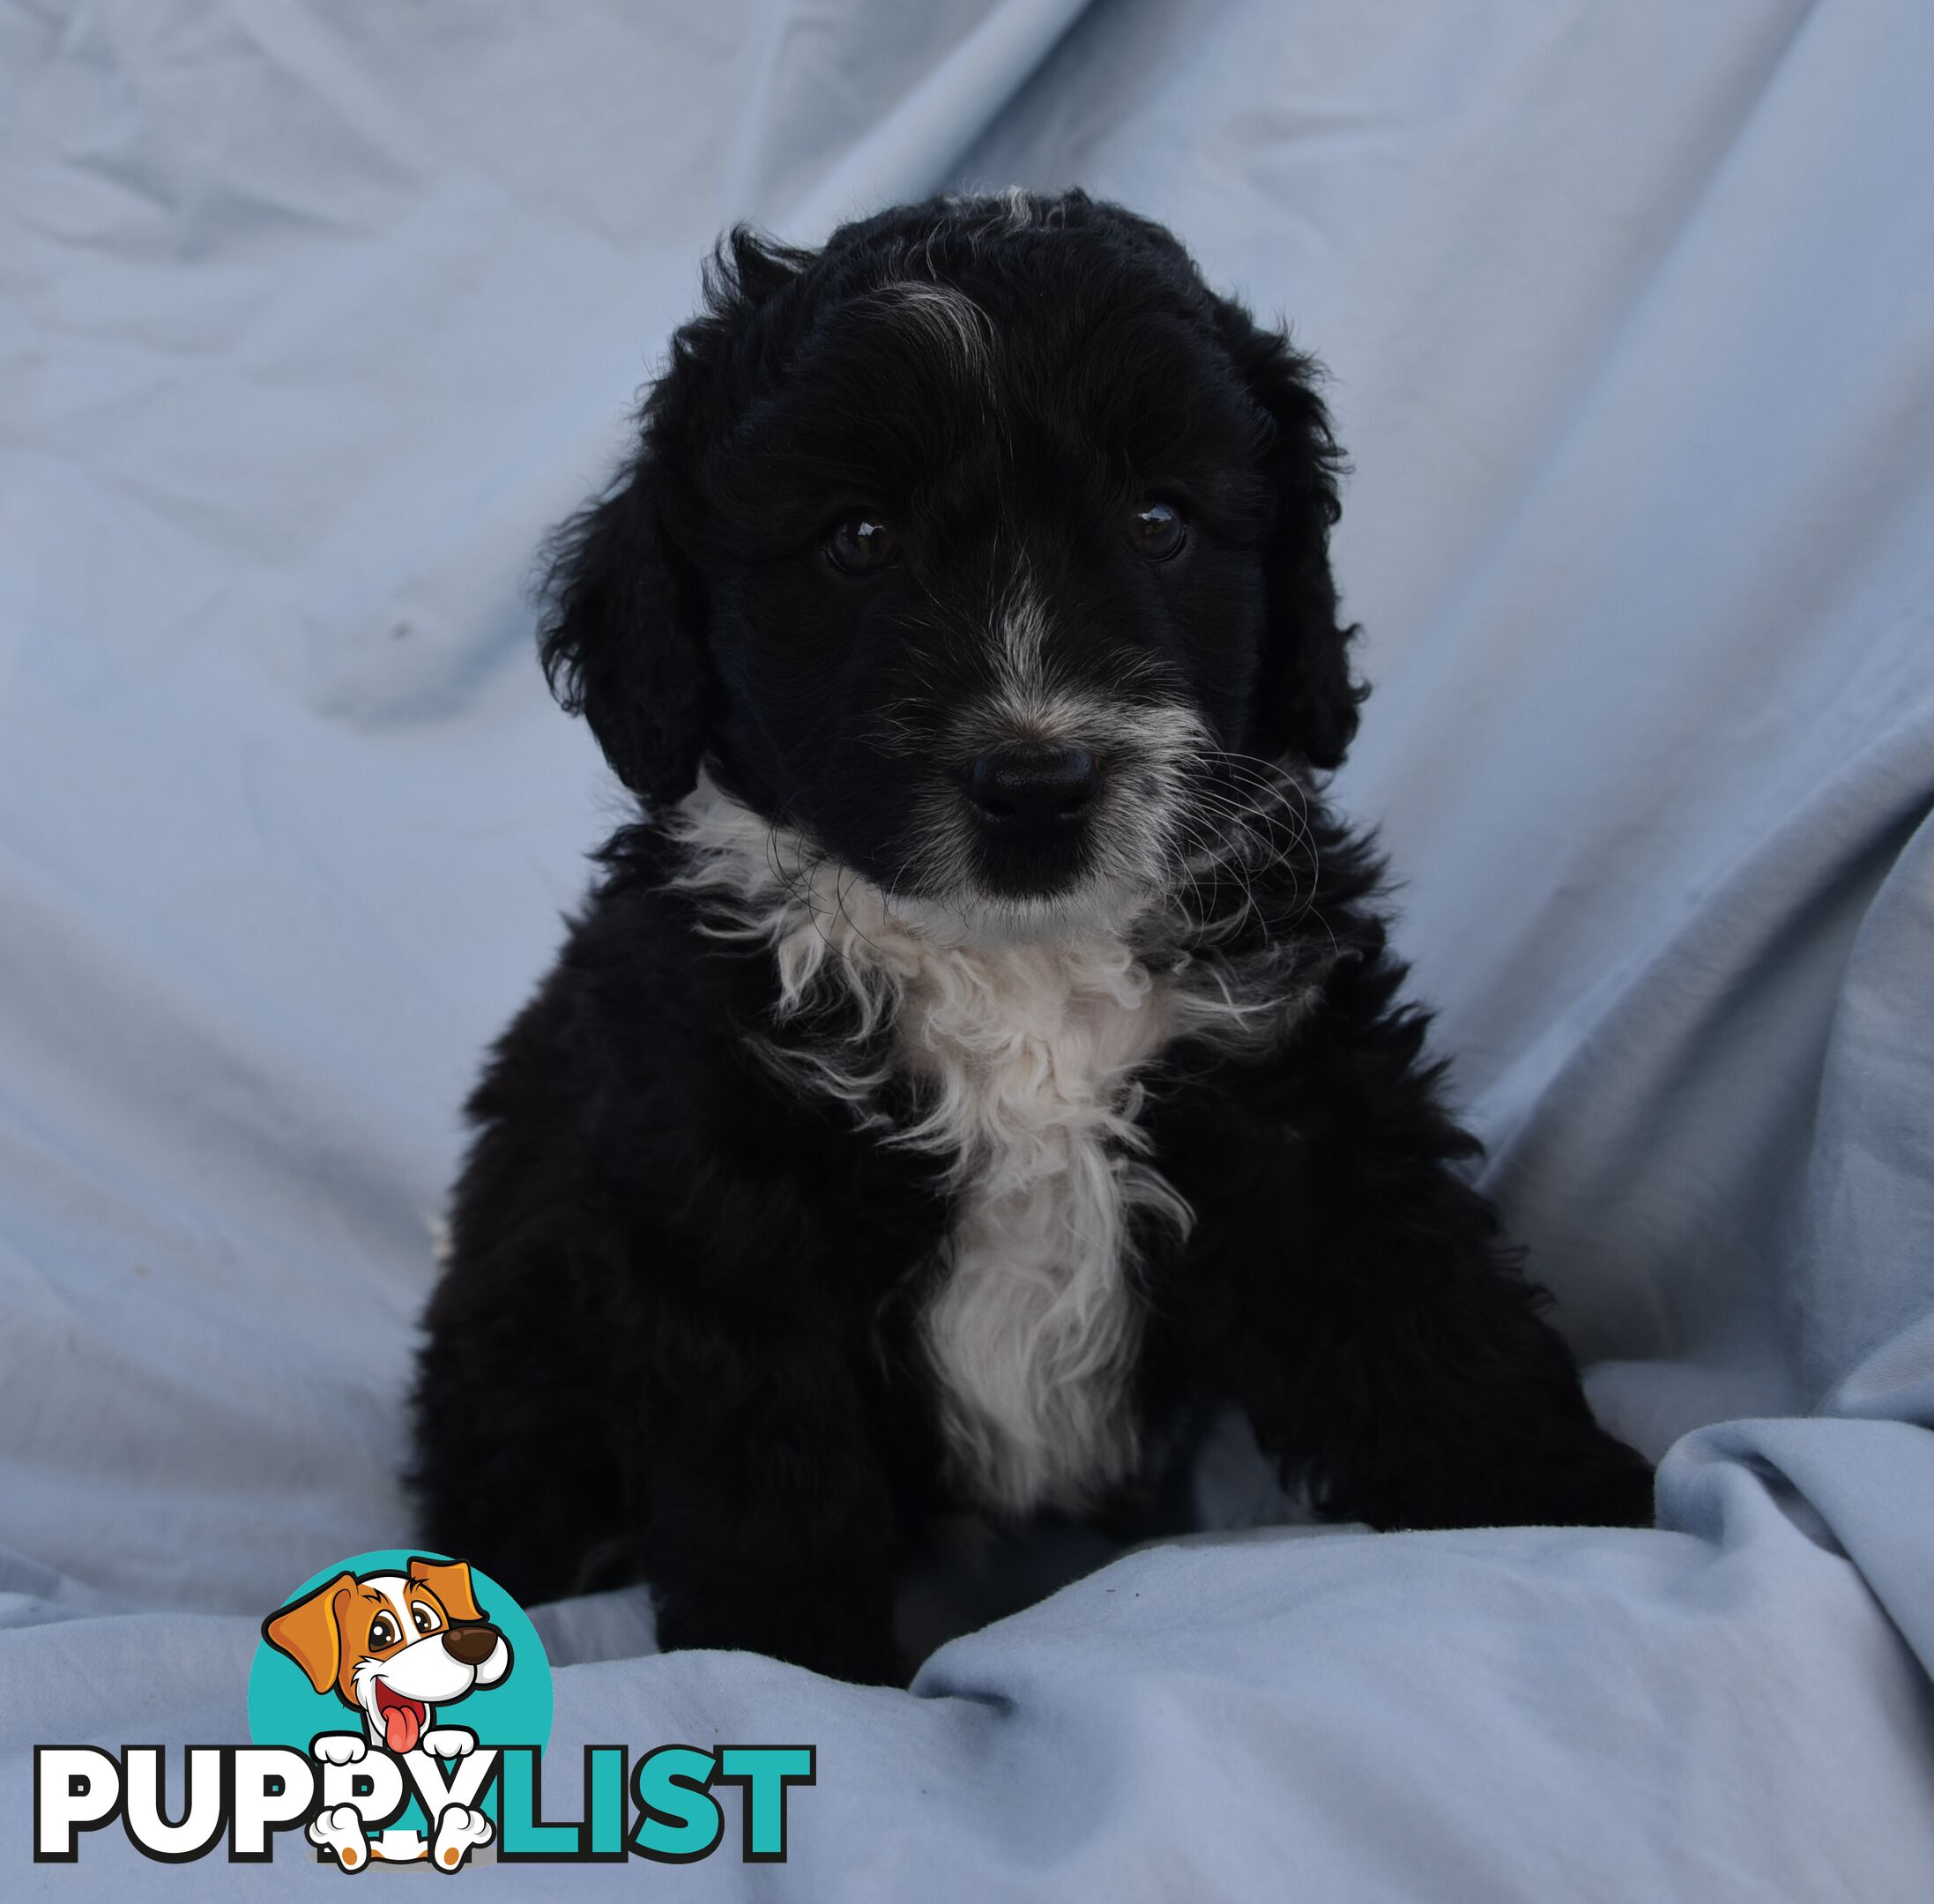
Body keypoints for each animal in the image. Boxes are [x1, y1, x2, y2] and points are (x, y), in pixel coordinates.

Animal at [407, 189, 1648, 1677]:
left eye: (1160, 519)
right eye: (858, 540)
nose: (1038, 783)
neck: (1010, 957)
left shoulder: (1292, 1088)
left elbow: (1415, 1302)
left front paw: (1558, 1505)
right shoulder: (716, 1179)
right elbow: (765, 1467)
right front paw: (783, 1665)